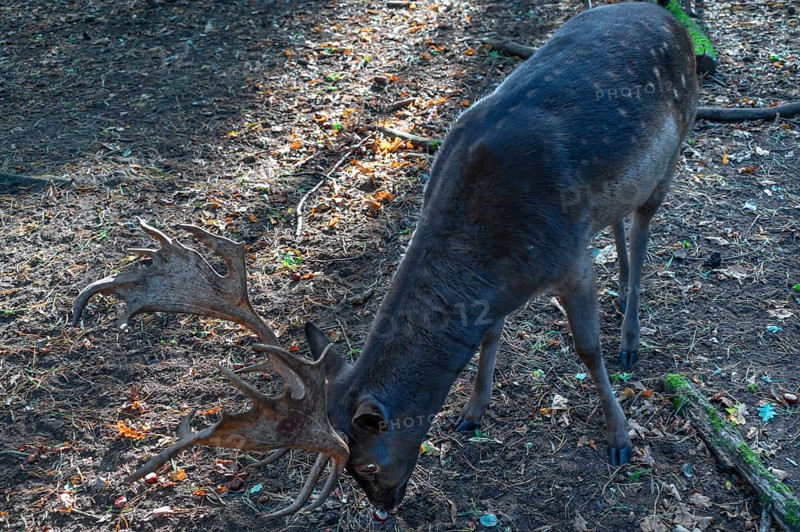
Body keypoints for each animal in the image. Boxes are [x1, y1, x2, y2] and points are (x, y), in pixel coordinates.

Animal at [71, 2, 698, 520]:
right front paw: (472, 411)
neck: (497, 254)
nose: (383, 507)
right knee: (621, 224)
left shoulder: (569, 257)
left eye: (366, 462)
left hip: (674, 150)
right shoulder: (501, 290)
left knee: (644, 231)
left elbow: (585, 350)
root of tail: (670, 18)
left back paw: (630, 337)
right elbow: (490, 335)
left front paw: (621, 437)